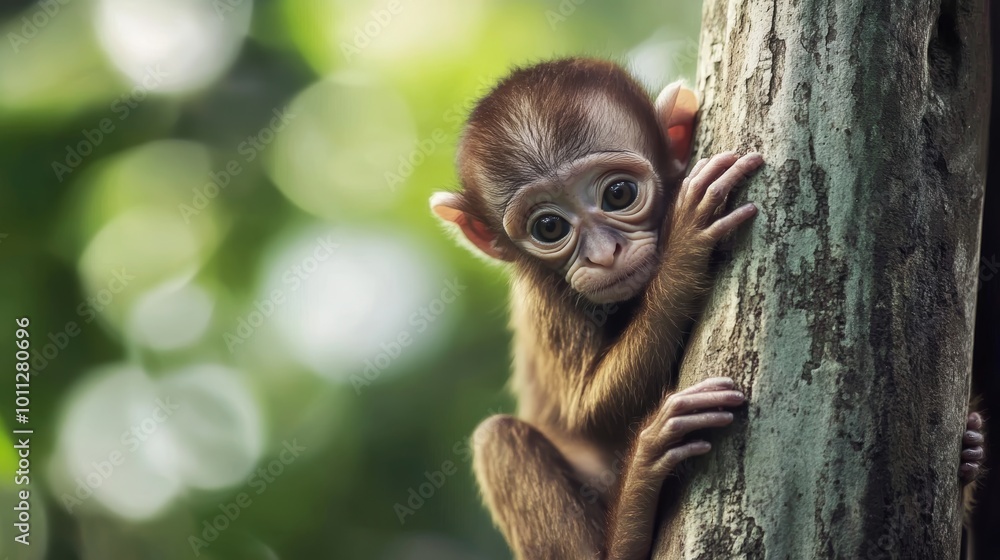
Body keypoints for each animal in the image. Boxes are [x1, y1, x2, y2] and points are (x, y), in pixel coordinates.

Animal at [430, 58, 986, 559]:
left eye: (618, 194)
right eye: (549, 227)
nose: (603, 254)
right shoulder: (544, 298)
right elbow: (586, 415)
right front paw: (683, 252)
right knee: (497, 438)